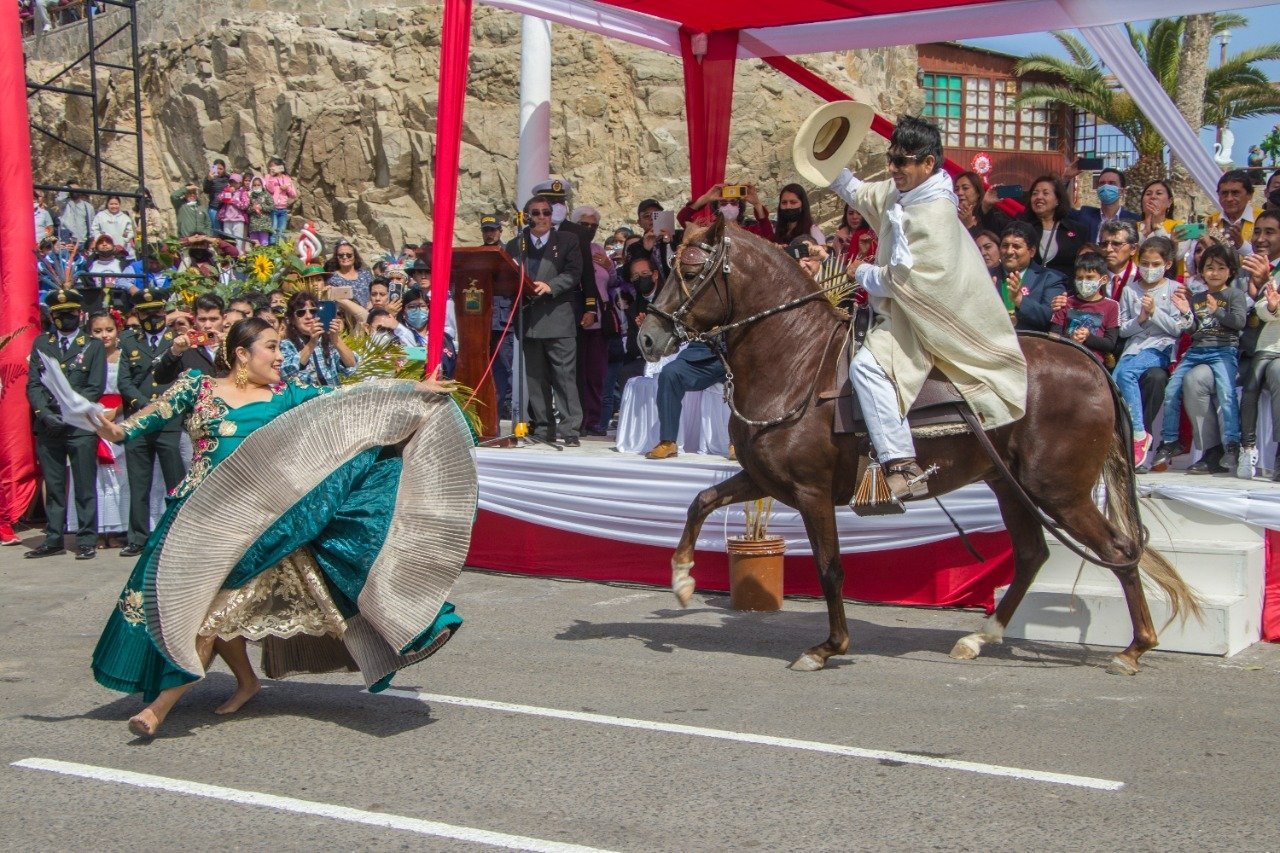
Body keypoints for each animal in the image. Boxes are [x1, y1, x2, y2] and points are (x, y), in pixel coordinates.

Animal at [640, 222, 1198, 676]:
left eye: (690, 269)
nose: (647, 338)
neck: (798, 360)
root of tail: (1090, 363)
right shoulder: (763, 478)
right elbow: (700, 502)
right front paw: (683, 579)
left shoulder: (811, 492)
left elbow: (830, 567)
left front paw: (829, 646)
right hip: (1011, 486)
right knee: (1032, 555)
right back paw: (979, 638)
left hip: (1059, 492)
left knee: (1120, 551)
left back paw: (1134, 649)